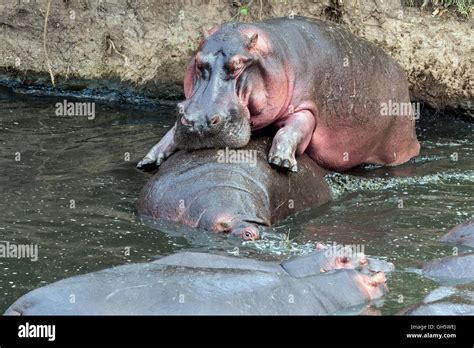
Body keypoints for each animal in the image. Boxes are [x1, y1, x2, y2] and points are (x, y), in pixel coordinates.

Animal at [139, 17, 420, 173]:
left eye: (238, 65)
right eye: (198, 62)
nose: (198, 122)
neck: (275, 53)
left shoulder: (307, 109)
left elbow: (293, 129)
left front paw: (281, 160)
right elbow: (170, 132)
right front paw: (149, 158)